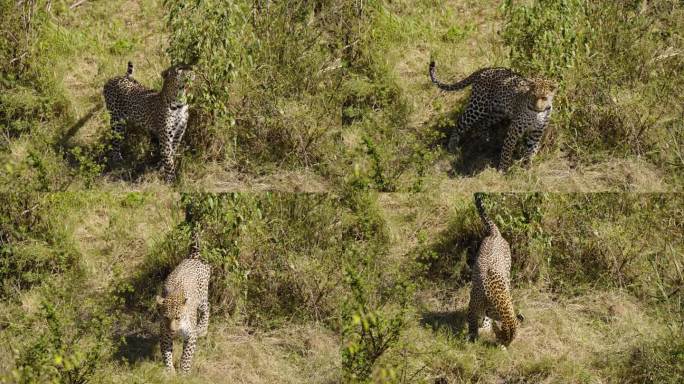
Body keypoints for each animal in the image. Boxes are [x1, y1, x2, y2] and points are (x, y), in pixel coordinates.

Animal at [158, 226, 211, 374]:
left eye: (178, 317)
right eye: (166, 318)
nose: (173, 331)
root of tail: (193, 257)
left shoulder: (191, 335)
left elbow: (186, 356)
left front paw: (184, 373)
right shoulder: (165, 335)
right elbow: (166, 353)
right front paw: (170, 371)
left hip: (202, 296)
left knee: (207, 307)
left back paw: (202, 328)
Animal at [430, 60, 560, 171]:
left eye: (544, 98)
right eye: (533, 96)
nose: (537, 107)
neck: (538, 113)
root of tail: (487, 69)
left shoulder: (537, 132)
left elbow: (531, 151)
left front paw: (526, 169)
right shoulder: (514, 130)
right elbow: (507, 151)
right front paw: (502, 171)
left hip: (496, 112)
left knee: (482, 124)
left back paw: (485, 143)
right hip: (478, 106)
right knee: (460, 122)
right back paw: (452, 148)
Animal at [464, 194, 524, 346]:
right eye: (503, 339)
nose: (503, 346)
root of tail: (495, 234)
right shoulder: (472, 307)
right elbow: (472, 324)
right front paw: (472, 338)